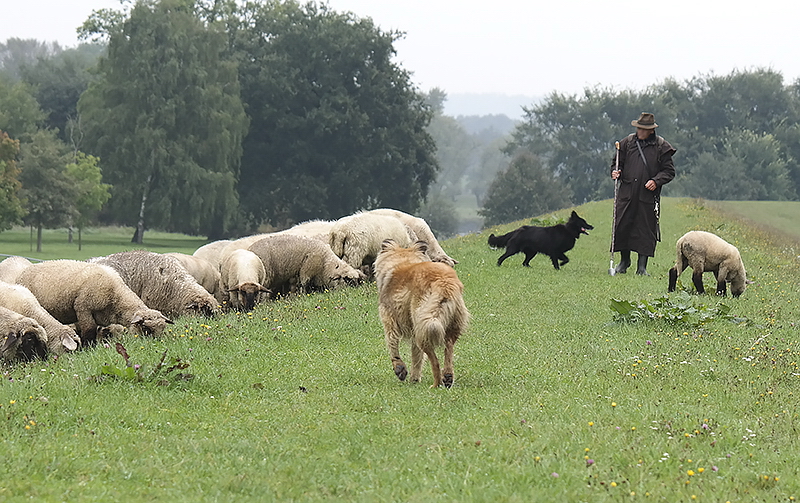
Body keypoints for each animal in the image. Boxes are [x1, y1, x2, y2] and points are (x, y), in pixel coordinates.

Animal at [376, 240, 468, 390]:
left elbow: (392, 343)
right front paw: (415, 378)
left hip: (424, 326)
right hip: (448, 325)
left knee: (435, 361)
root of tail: (443, 282)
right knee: (448, 351)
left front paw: (400, 369)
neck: (402, 261)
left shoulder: (389, 319)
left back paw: (436, 385)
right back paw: (448, 377)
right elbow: (417, 356)